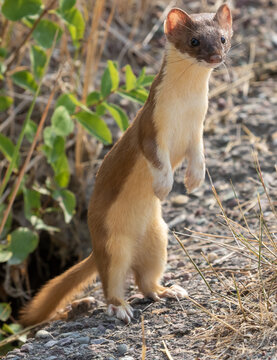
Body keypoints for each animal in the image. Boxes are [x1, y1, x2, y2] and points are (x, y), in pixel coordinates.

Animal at [19, 3, 232, 326]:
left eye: (222, 38)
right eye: (194, 41)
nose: (215, 57)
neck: (185, 109)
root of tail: (96, 247)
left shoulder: (197, 130)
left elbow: (198, 155)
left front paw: (194, 180)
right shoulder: (150, 128)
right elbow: (157, 159)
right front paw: (164, 186)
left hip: (158, 239)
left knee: (145, 281)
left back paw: (168, 290)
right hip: (113, 244)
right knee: (112, 281)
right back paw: (120, 307)